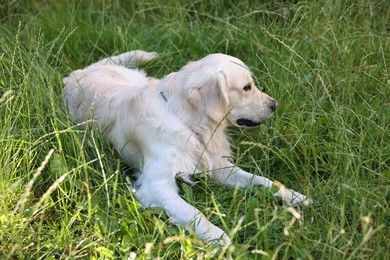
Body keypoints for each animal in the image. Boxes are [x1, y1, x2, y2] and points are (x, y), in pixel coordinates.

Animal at [63, 50, 308, 246]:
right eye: (247, 87)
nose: (275, 105)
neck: (185, 121)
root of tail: (75, 74)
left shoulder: (217, 164)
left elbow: (259, 179)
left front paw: (293, 195)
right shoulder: (156, 186)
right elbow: (193, 212)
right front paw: (218, 236)